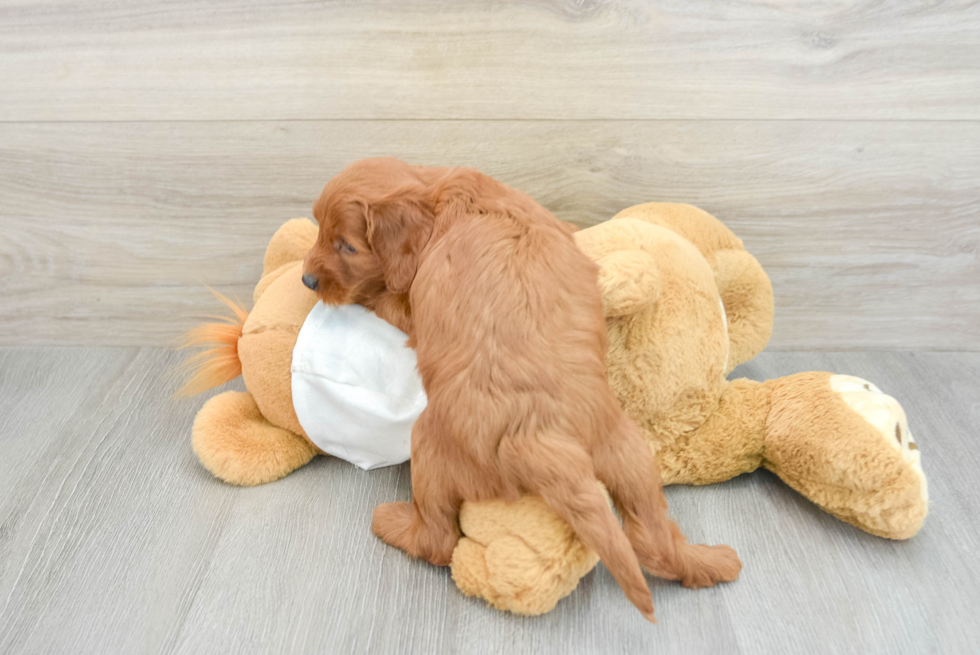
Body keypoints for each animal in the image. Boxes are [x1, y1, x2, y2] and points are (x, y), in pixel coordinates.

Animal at [302, 159, 740, 620]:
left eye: (347, 247)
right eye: (319, 231)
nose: (307, 279)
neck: (442, 195)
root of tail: (538, 438)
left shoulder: (411, 305)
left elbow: (386, 296)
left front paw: (365, 294)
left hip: (429, 447)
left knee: (438, 541)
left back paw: (393, 523)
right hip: (628, 453)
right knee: (652, 538)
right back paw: (712, 562)